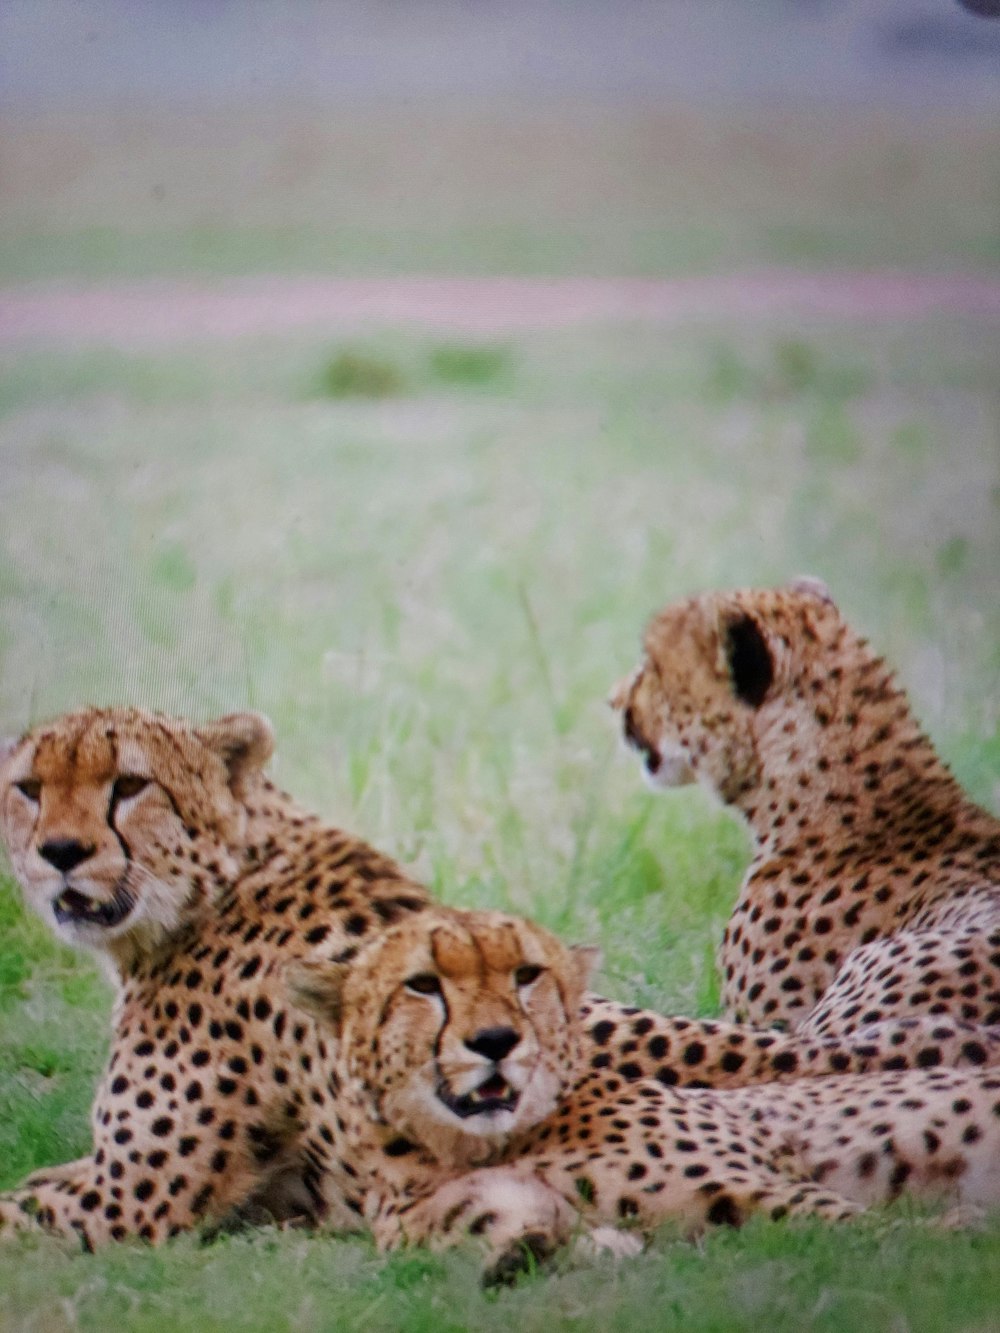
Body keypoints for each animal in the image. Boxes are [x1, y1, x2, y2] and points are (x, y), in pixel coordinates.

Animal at [288, 906, 1000, 1279]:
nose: (495, 1040)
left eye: (526, 975)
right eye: (423, 984)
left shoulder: (772, 1194)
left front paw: (956, 1232)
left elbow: (873, 1233)